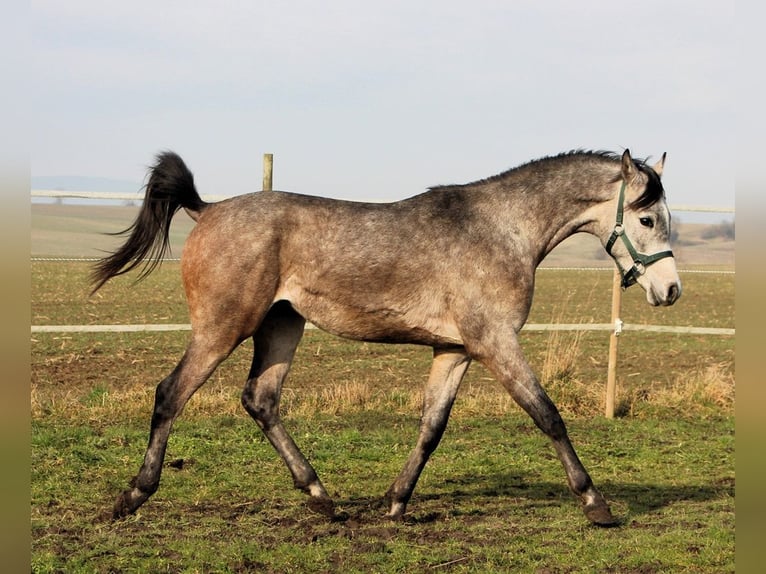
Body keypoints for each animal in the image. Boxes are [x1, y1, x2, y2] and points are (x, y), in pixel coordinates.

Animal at [93, 148, 680, 528]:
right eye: (648, 218)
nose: (670, 290)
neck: (502, 230)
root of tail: (209, 208)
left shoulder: (456, 350)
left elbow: (432, 427)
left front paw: (396, 502)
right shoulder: (496, 343)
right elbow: (548, 415)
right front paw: (596, 504)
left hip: (282, 326)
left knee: (260, 400)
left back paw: (321, 497)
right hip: (222, 328)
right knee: (171, 394)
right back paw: (133, 496)